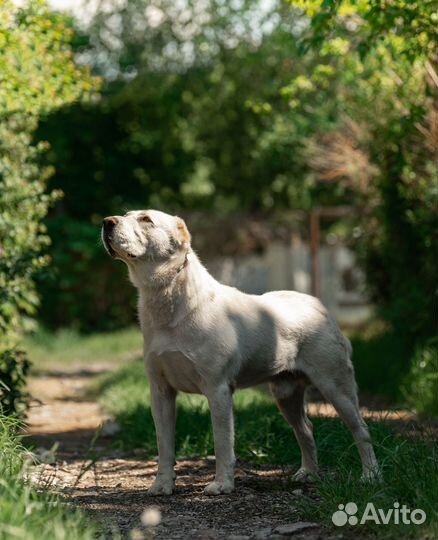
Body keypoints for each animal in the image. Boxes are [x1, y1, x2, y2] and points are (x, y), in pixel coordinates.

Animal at [101, 210, 378, 494]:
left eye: (146, 219)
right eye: (126, 215)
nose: (107, 222)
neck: (169, 299)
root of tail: (320, 308)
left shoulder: (218, 389)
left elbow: (222, 442)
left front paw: (222, 485)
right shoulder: (160, 391)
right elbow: (164, 444)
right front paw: (162, 485)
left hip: (336, 386)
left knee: (361, 429)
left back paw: (370, 476)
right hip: (285, 394)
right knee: (306, 429)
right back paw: (308, 474)